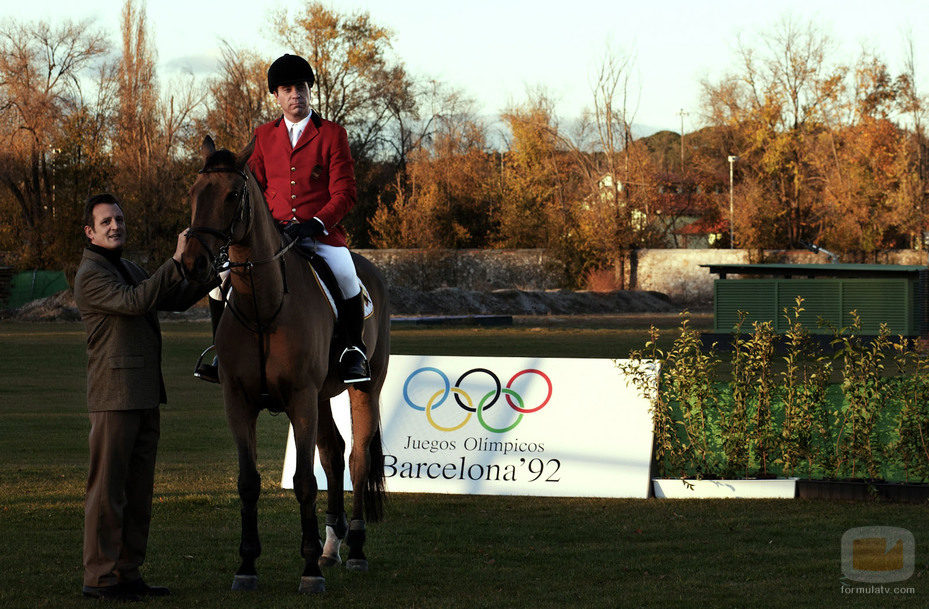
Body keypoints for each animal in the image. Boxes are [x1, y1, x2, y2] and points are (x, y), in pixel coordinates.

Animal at [181, 137, 388, 592]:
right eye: (194, 193)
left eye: (232, 195)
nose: (192, 264)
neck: (264, 304)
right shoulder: (239, 402)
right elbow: (248, 482)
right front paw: (246, 565)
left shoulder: (300, 399)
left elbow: (304, 482)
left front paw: (309, 570)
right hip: (323, 395)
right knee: (334, 453)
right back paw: (331, 546)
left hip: (363, 388)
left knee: (357, 458)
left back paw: (356, 550)